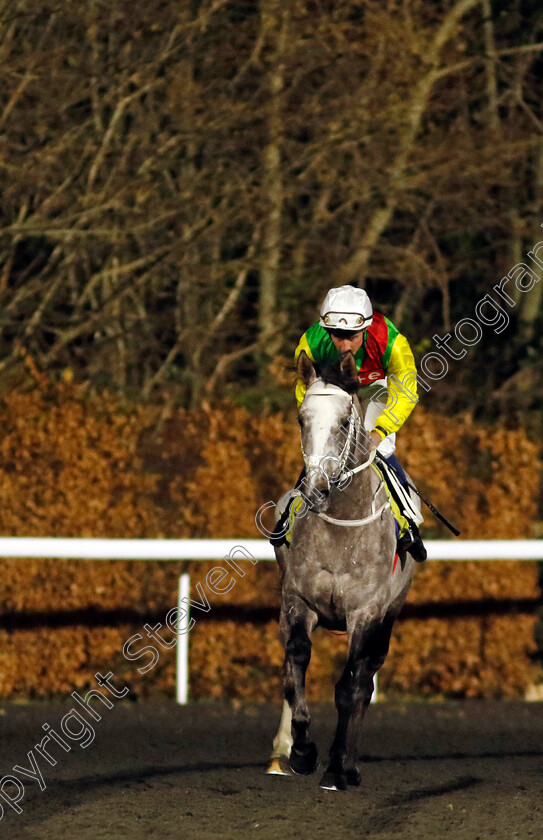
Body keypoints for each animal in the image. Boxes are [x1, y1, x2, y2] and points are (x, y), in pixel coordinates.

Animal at [268, 352, 416, 792]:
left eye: (346, 422)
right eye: (301, 418)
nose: (316, 489)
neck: (341, 530)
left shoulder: (365, 613)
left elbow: (350, 687)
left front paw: (336, 766)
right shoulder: (297, 601)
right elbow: (296, 664)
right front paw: (301, 750)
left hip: (389, 616)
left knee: (366, 679)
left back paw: (349, 764)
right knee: (289, 670)